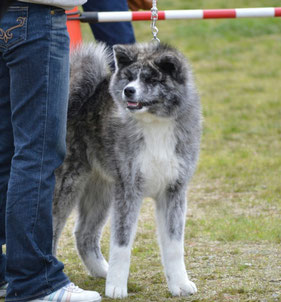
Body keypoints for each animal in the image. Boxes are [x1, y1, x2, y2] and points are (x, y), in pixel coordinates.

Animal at [52, 41, 200, 298]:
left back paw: (102, 270)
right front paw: (116, 287)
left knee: (84, 235)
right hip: (66, 186)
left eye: (151, 79)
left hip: (101, 191)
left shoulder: (173, 192)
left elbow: (174, 245)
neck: (155, 124)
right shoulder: (129, 190)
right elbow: (121, 244)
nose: (128, 91)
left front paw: (180, 285)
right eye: (130, 77)